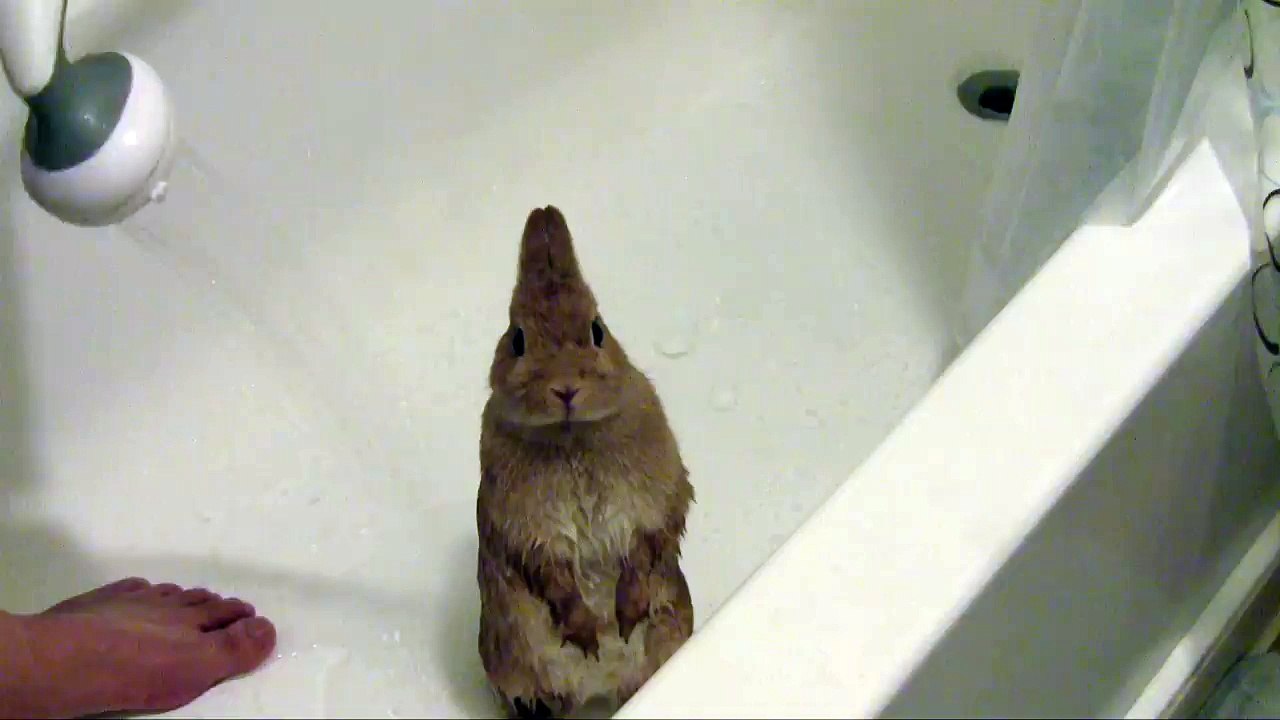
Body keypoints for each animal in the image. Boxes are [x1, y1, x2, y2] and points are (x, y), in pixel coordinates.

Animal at [476, 205, 695, 719]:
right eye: (517, 339)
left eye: (597, 330)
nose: (565, 389)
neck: (571, 438)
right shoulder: (528, 532)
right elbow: (555, 578)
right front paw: (588, 632)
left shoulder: (654, 505)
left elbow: (644, 551)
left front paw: (623, 618)